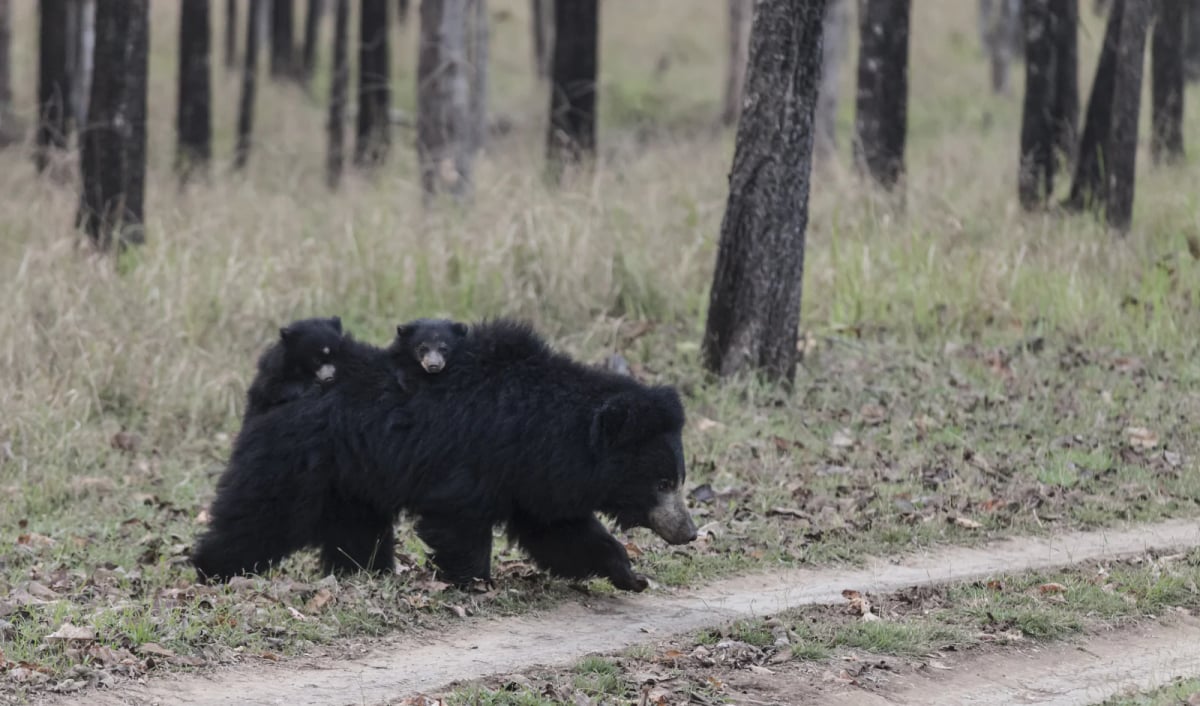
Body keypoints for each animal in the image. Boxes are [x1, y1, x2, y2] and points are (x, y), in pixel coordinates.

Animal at [191, 318, 697, 592]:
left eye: (679, 480)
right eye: (662, 483)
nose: (689, 532)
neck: (543, 430)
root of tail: (272, 388)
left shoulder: (534, 478)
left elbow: (561, 531)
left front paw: (630, 576)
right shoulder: (477, 458)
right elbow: (458, 518)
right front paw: (474, 581)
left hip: (351, 478)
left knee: (356, 531)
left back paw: (365, 572)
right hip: (295, 461)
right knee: (258, 517)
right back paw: (212, 570)